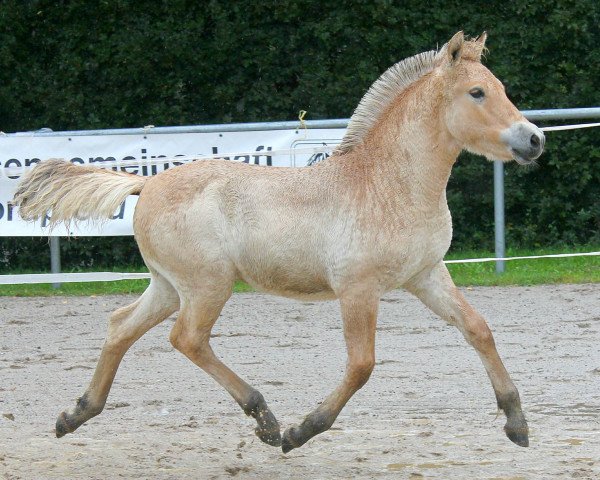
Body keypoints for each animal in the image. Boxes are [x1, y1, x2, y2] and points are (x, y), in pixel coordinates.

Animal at [14, 31, 544, 452]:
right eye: (477, 92)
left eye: (501, 89)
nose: (534, 139)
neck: (387, 183)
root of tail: (147, 184)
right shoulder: (358, 289)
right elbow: (362, 365)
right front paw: (301, 431)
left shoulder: (426, 275)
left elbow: (478, 329)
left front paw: (517, 424)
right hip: (208, 285)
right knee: (187, 338)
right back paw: (266, 421)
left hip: (169, 286)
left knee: (121, 327)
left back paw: (74, 415)